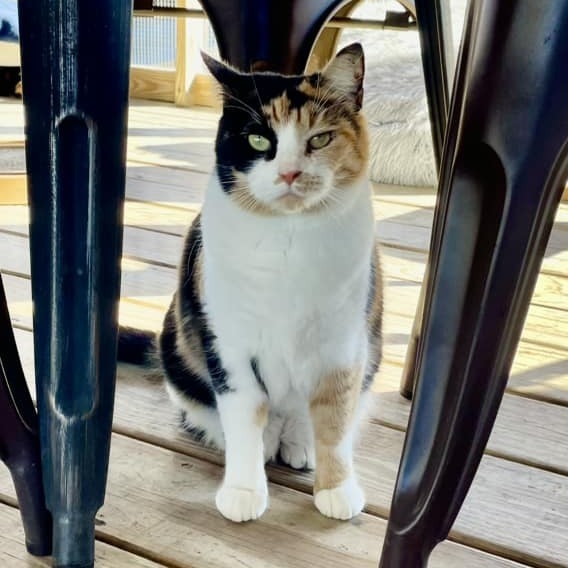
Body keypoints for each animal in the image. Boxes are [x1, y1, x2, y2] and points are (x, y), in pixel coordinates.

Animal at [121, 43, 386, 524]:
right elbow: (244, 414)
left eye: (320, 139)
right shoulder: (229, 342)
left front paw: (337, 490)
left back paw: (298, 443)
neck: (290, 242)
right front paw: (244, 490)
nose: (290, 174)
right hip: (180, 350)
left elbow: (335, 418)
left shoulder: (344, 345)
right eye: (259, 140)